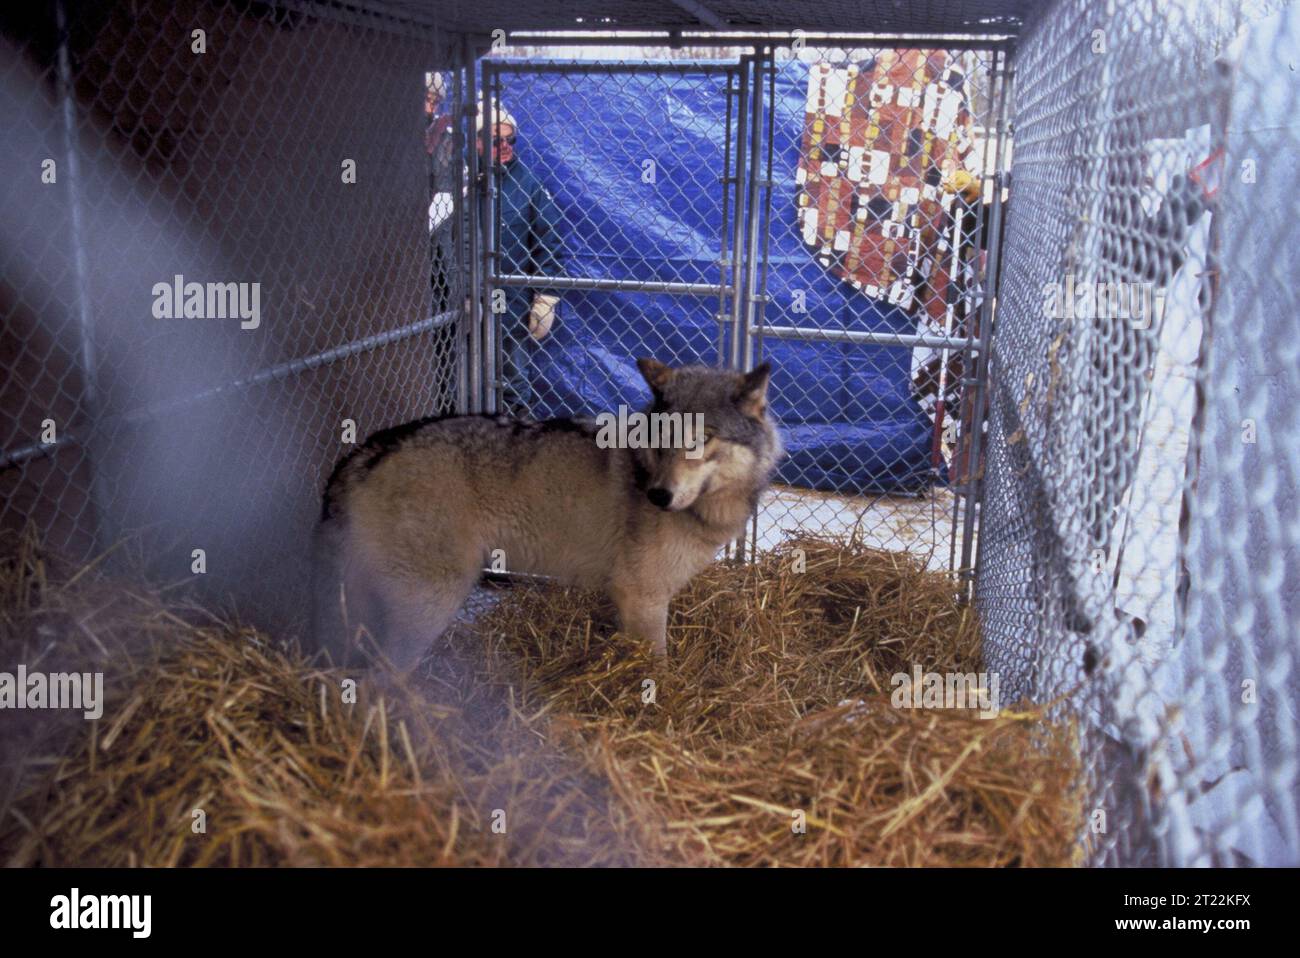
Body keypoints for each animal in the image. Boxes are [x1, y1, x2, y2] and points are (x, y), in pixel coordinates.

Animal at [311, 358, 782, 670]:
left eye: (703, 439)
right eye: (662, 438)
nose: (657, 495)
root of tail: (364, 452)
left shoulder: (628, 598)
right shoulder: (644, 597)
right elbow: (658, 667)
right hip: (433, 601)